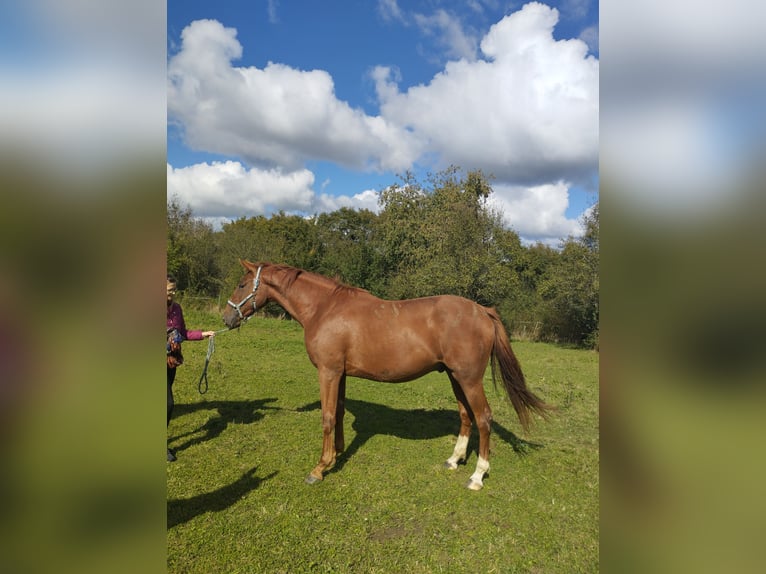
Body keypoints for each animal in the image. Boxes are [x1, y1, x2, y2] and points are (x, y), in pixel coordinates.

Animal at [222, 260, 552, 490]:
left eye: (241, 284)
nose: (226, 319)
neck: (325, 308)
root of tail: (482, 310)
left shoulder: (328, 372)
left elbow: (327, 417)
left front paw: (319, 468)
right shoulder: (340, 374)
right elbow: (338, 412)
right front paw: (336, 455)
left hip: (469, 379)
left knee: (483, 418)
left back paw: (477, 476)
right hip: (455, 377)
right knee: (465, 416)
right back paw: (454, 460)